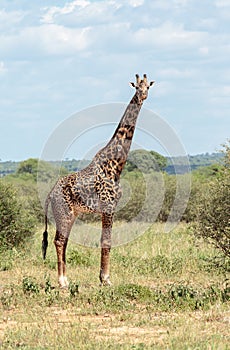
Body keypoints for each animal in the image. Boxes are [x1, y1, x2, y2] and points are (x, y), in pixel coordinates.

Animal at [42, 73, 155, 288]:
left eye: (148, 87)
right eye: (136, 86)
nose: (142, 96)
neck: (116, 165)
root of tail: (50, 194)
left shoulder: (109, 208)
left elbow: (105, 241)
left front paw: (103, 278)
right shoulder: (109, 207)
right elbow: (107, 242)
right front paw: (106, 279)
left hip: (72, 214)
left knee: (62, 240)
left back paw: (65, 279)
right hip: (64, 213)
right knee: (59, 241)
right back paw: (62, 282)